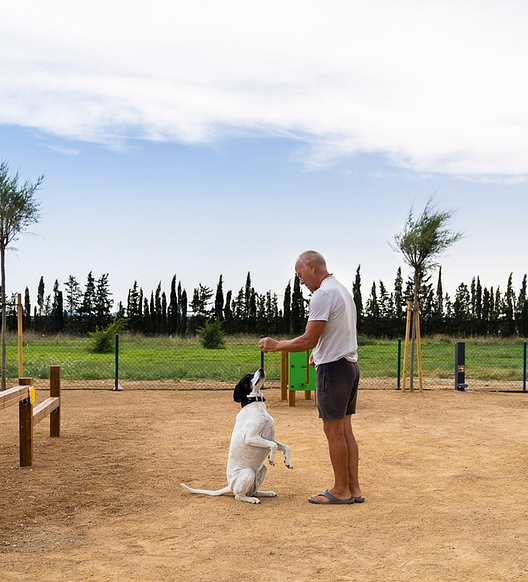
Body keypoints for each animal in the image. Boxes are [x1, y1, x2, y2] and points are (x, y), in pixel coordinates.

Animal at [179, 372, 290, 504]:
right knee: (238, 496)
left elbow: (285, 447)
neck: (255, 405)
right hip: (248, 472)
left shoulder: (268, 438)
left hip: (263, 470)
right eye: (248, 376)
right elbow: (273, 445)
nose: (261, 369)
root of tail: (230, 486)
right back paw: (251, 499)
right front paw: (272, 458)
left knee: (253, 491)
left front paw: (287, 462)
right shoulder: (251, 438)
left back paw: (266, 493)